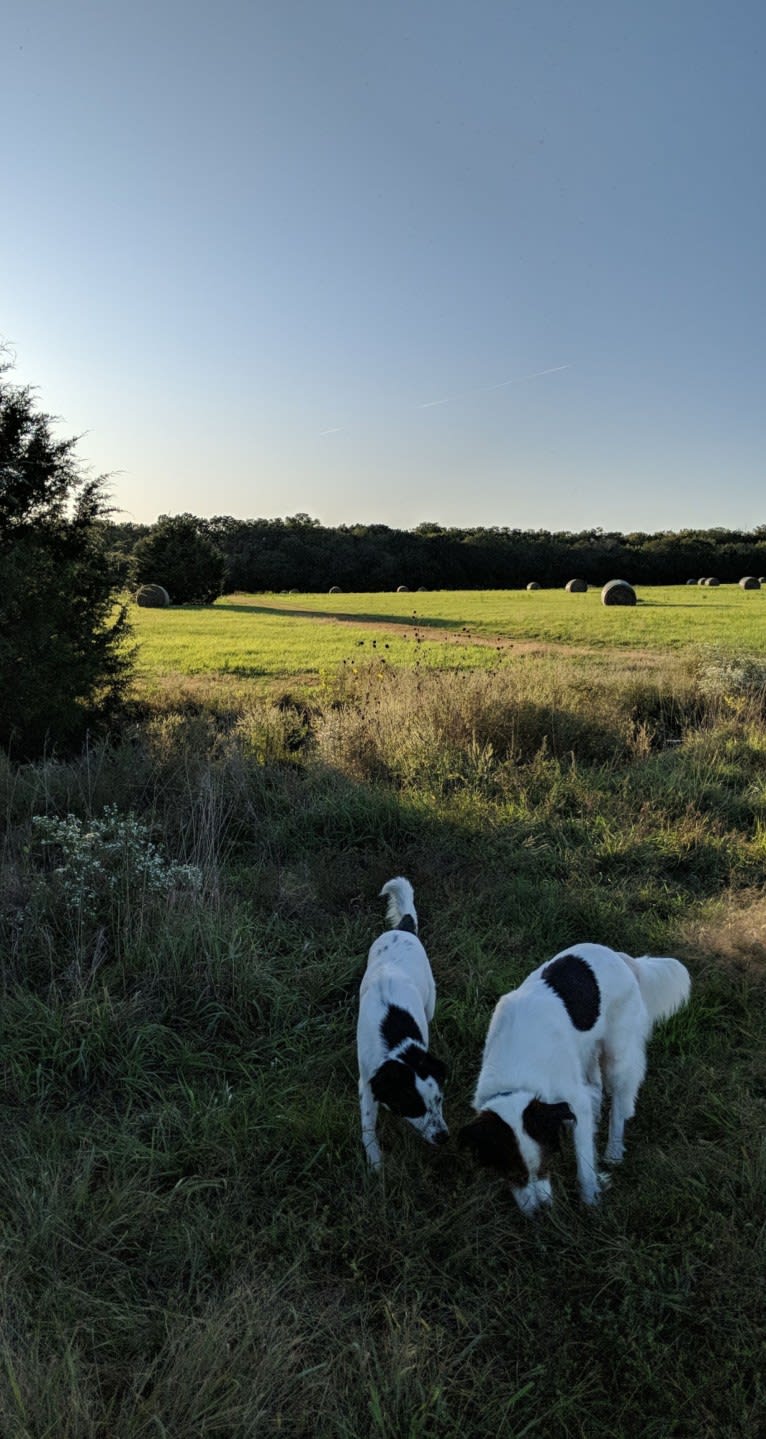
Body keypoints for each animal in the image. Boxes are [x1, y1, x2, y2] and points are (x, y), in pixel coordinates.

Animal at [357, 874, 449, 1168]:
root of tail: (404, 929)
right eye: (415, 1107)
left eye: (439, 1100)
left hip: (430, 999)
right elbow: (367, 1124)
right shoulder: (366, 1080)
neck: (397, 1044)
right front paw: (374, 1159)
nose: (443, 1137)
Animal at [457, 943, 691, 1214]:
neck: (516, 1079)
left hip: (616, 1056)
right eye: (513, 1174)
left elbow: (584, 1162)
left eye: (544, 1165)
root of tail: (622, 957)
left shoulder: (573, 1099)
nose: (541, 1212)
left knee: (619, 1104)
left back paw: (613, 1152)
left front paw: (590, 1200)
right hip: (586, 1051)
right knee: (596, 1089)